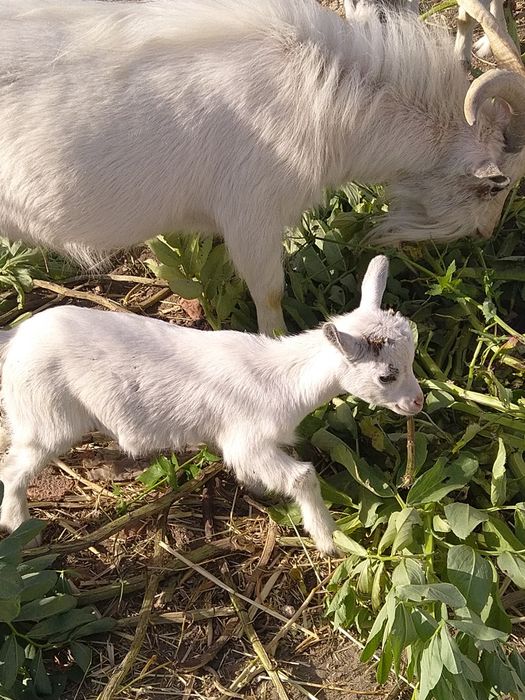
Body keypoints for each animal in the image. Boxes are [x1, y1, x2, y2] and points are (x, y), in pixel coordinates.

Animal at [0, 256, 423, 554]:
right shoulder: (246, 440)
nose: (417, 402)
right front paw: (329, 539)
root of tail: (15, 337)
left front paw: (258, 489)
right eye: (387, 376)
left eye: (413, 355)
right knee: (13, 469)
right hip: (45, 417)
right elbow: (302, 476)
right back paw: (22, 530)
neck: (283, 378)